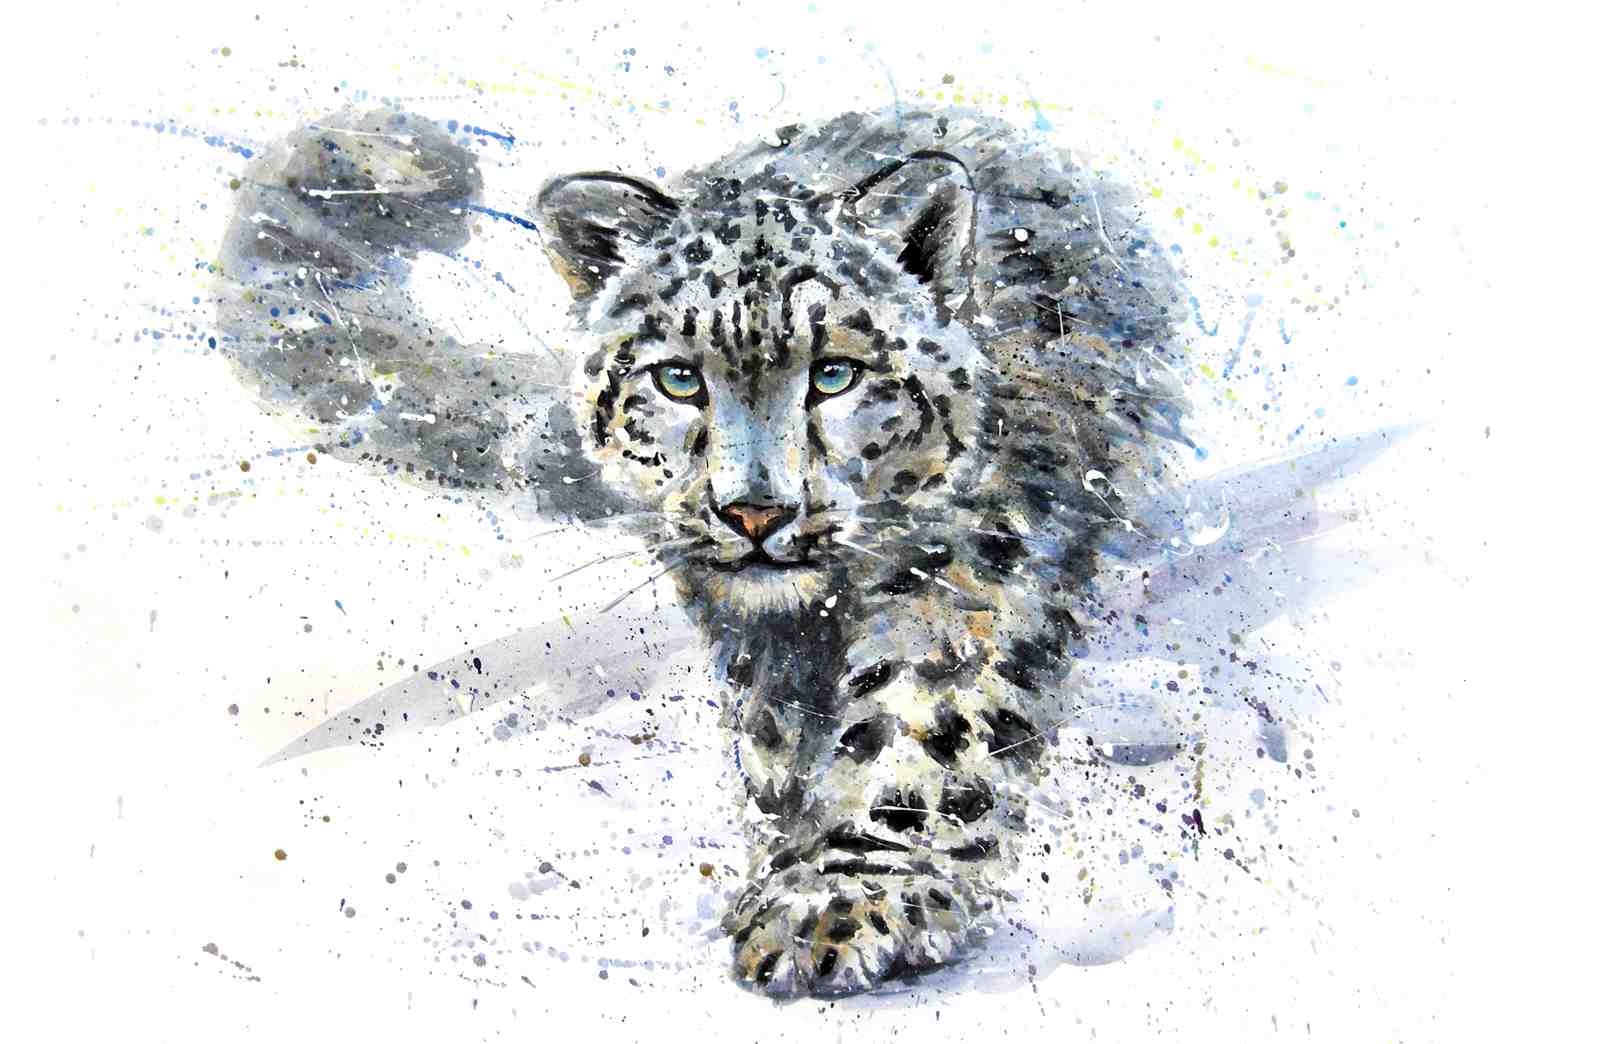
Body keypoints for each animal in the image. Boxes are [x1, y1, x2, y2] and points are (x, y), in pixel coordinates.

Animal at [214, 104, 1197, 998]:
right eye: (678, 377)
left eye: (836, 372)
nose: (754, 511)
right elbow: (779, 733)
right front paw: (796, 842)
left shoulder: (966, 570)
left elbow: (922, 724)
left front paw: (840, 896)